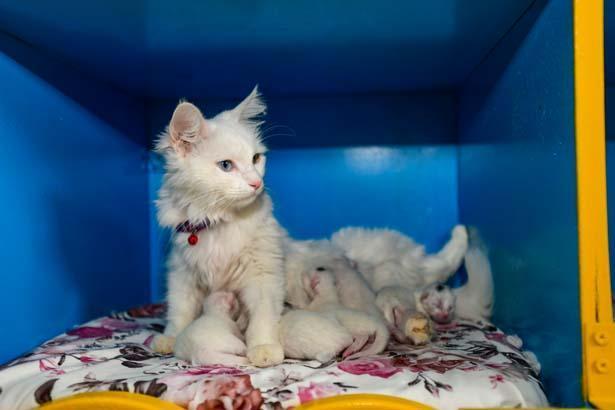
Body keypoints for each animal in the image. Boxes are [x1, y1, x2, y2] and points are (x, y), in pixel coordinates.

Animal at [152, 87, 286, 367]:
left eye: (256, 158)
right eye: (226, 165)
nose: (257, 183)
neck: (217, 219)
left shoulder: (263, 273)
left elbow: (263, 315)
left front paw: (264, 348)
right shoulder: (182, 272)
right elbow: (179, 309)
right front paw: (171, 337)